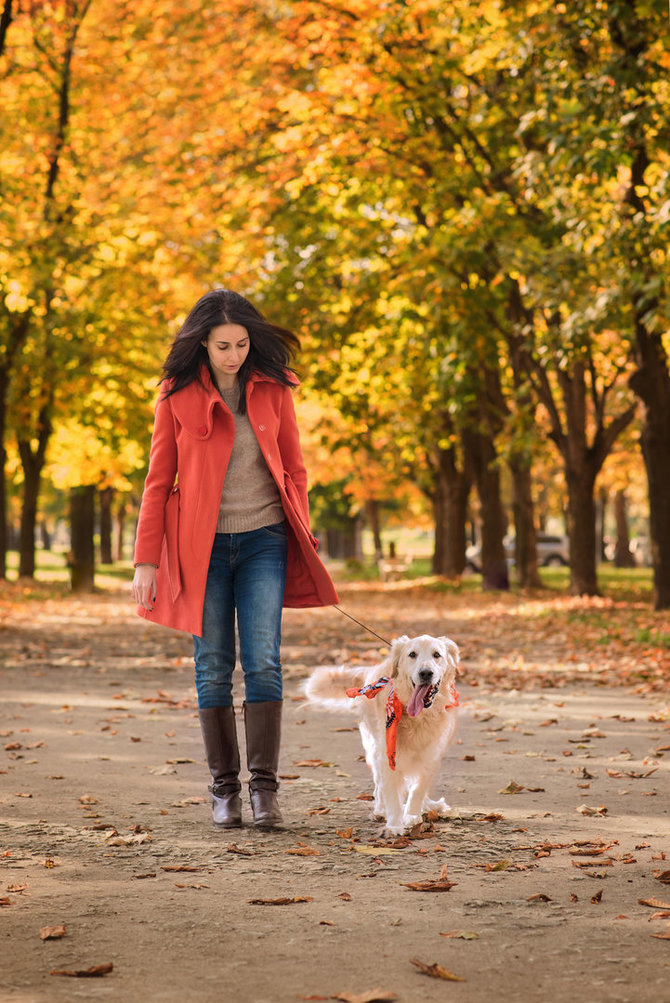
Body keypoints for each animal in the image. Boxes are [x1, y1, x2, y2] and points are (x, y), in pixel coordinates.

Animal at [304, 633, 457, 838]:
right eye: (412, 654)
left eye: (437, 655)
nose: (426, 673)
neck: (418, 718)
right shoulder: (388, 755)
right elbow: (391, 792)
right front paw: (394, 825)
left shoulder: (431, 755)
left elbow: (418, 789)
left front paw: (413, 815)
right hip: (373, 747)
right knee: (379, 785)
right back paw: (381, 810)